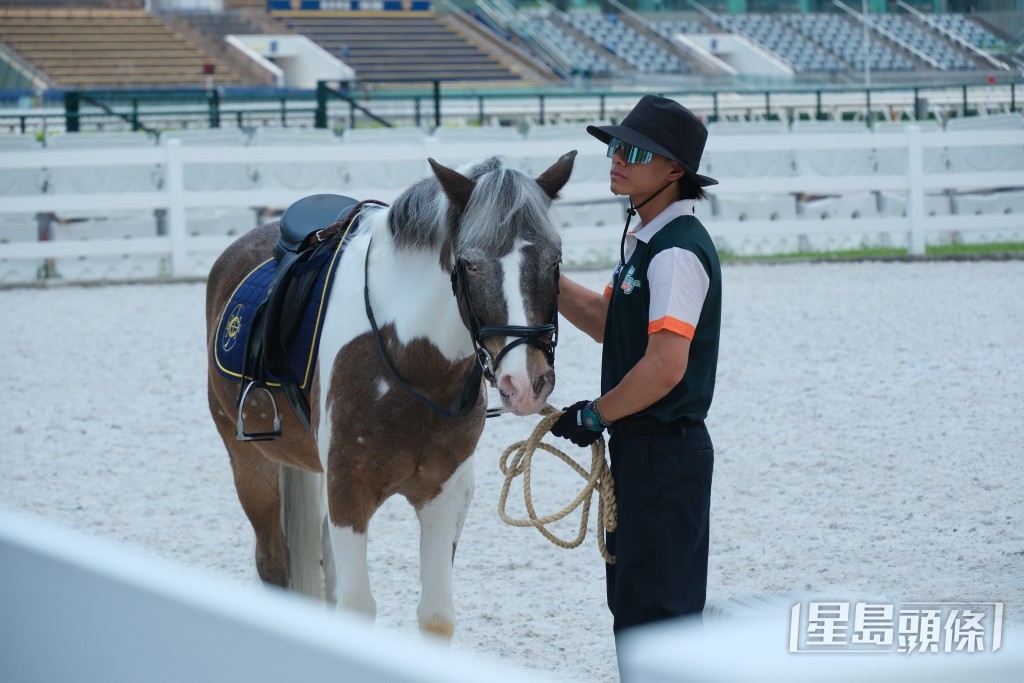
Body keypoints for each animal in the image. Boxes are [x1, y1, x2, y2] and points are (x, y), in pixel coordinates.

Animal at [205, 151, 577, 638]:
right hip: (251, 465)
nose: (526, 382)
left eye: (555, 262)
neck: (414, 365)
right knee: (273, 562)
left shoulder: (445, 494)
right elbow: (357, 608)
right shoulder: (348, 491)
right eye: (471, 264)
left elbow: (436, 616)